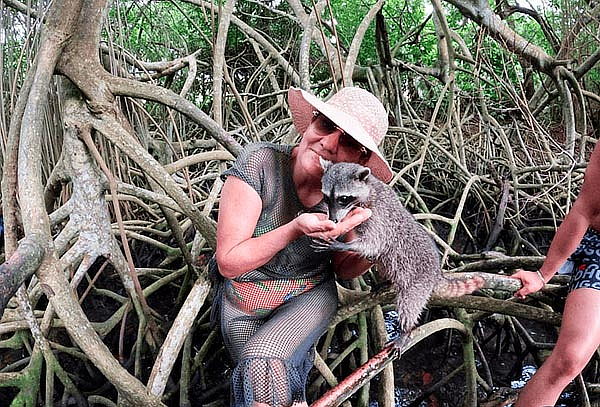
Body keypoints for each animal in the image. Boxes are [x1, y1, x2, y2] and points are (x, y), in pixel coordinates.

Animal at [312, 161, 486, 350]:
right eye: (327, 197)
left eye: (343, 198)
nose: (333, 219)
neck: (369, 189)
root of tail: (436, 273)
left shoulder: (378, 216)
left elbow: (373, 244)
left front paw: (341, 244)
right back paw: (386, 282)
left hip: (418, 283)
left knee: (409, 305)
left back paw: (407, 330)